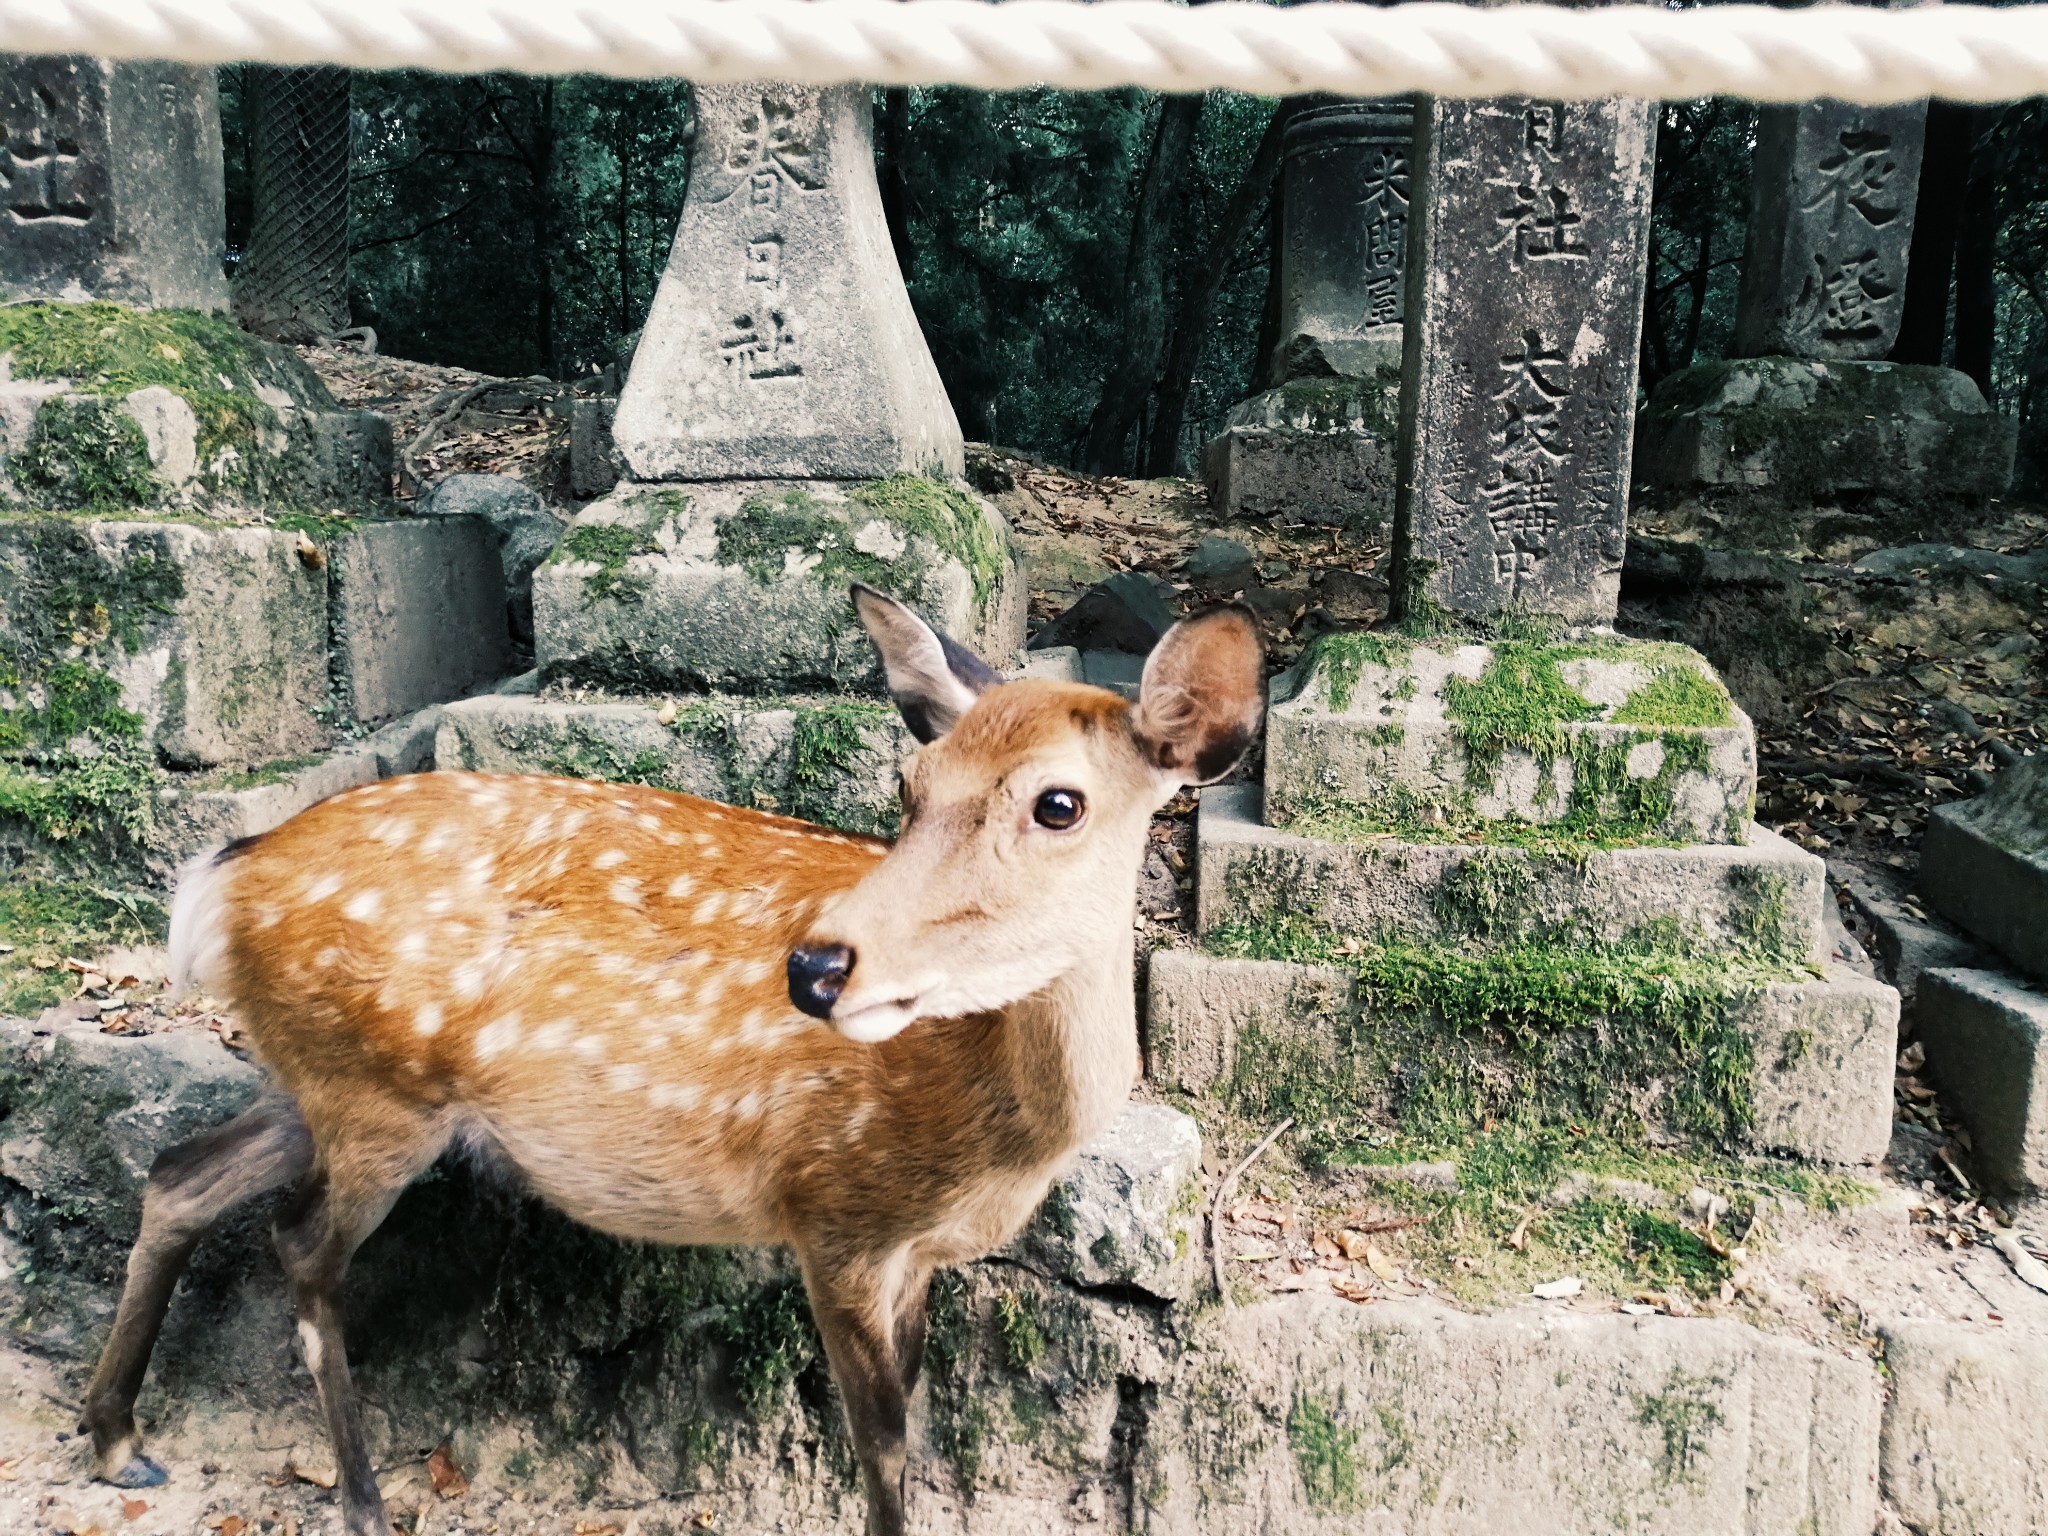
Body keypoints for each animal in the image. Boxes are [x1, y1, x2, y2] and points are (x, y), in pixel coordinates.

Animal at [83, 581, 1261, 1536]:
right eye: (909, 784)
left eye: (1058, 802)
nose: (817, 968)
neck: (990, 1142)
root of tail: (223, 878)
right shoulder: (830, 1208)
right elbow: (881, 1445)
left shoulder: (915, 1251)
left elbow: (914, 1423)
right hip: (377, 1097)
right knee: (297, 1247)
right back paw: (363, 1503)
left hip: (323, 1078)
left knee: (179, 1174)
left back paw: (116, 1438)